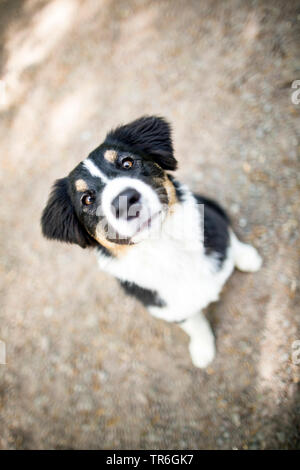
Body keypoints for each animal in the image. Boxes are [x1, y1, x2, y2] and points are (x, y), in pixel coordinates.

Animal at [41, 114, 262, 368]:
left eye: (127, 163)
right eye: (86, 199)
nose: (125, 200)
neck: (164, 246)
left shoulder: (212, 224)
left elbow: (227, 237)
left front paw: (246, 257)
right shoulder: (166, 307)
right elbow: (194, 325)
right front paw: (202, 349)